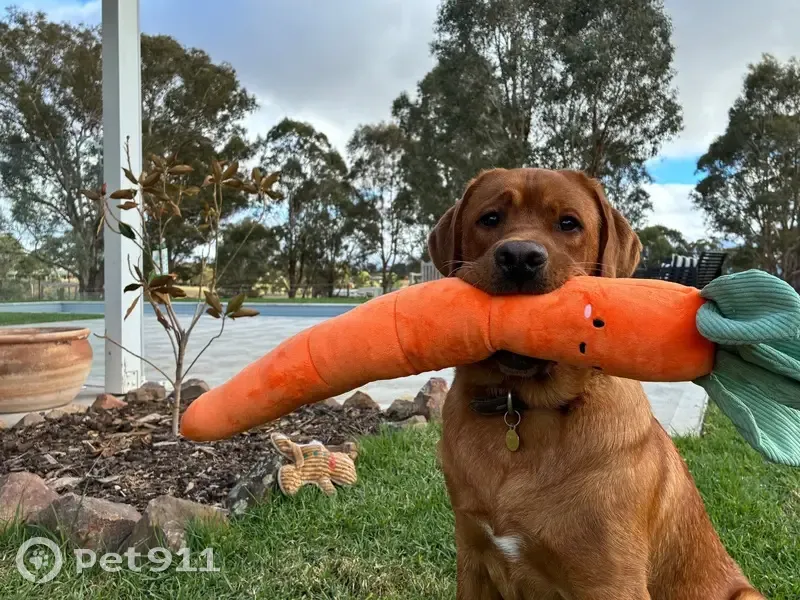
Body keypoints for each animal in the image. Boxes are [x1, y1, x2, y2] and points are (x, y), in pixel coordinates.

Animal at [430, 168, 763, 600]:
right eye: (489, 219)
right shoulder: (473, 559)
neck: (522, 409)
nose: (519, 257)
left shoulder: (610, 581)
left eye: (569, 223)